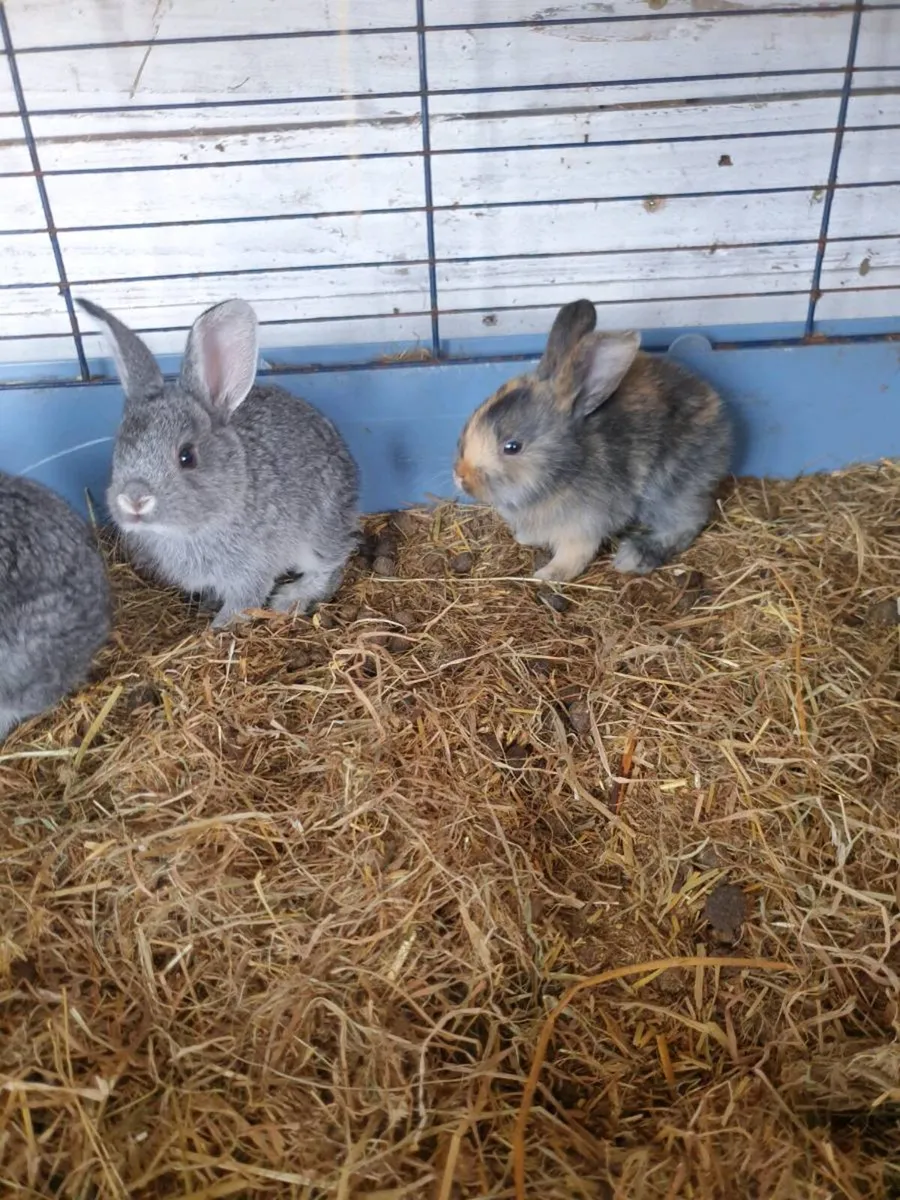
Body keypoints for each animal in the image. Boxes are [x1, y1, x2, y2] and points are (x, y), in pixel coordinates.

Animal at [76, 297, 360, 629]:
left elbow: (240, 606)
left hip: (318, 532)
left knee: (332, 565)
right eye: (119, 449)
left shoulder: (250, 573)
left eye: (187, 456)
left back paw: (289, 599)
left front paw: (216, 630)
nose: (134, 499)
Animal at [453, 299, 732, 582]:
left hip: (670, 487)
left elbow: (574, 555)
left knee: (686, 522)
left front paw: (547, 575)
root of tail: (719, 414)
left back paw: (634, 557)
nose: (460, 476)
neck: (564, 470)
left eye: (512, 446)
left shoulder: (583, 527)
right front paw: (524, 538)